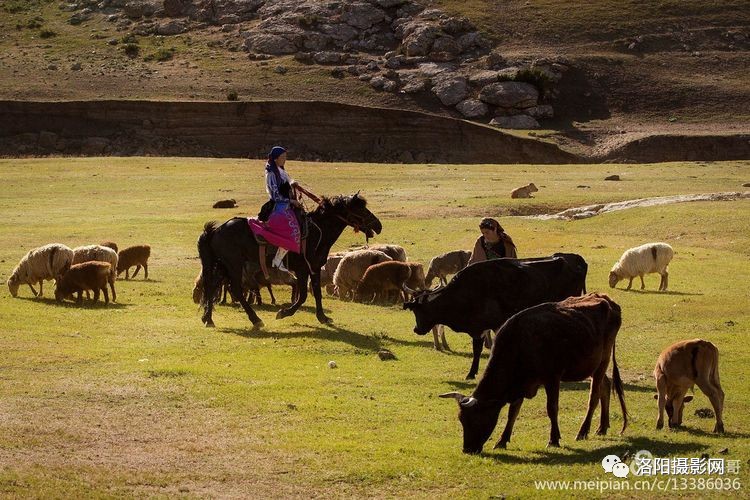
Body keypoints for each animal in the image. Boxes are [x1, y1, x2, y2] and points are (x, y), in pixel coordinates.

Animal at [198, 194, 382, 328]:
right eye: (360, 209)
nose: (378, 225)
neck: (317, 232)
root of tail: (216, 230)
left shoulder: (314, 268)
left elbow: (317, 293)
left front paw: (323, 317)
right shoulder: (302, 269)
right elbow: (303, 296)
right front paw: (284, 313)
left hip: (223, 265)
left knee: (212, 286)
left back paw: (208, 319)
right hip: (233, 265)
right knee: (234, 288)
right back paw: (255, 319)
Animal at [440, 292, 628, 454]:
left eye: (476, 419)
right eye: (461, 419)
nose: (467, 449)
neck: (520, 343)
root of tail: (607, 300)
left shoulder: (552, 378)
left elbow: (552, 408)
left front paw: (553, 439)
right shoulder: (519, 383)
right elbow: (513, 412)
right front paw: (502, 440)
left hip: (602, 361)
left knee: (594, 396)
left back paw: (583, 431)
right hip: (591, 365)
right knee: (605, 386)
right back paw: (602, 427)